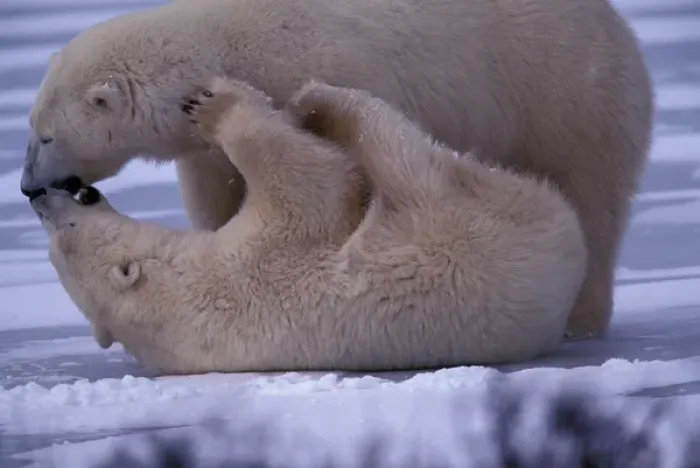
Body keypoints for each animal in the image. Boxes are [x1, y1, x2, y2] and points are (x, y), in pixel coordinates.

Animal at [19, 0, 651, 339]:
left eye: (46, 134)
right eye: (31, 125)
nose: (27, 186)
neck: (225, 44)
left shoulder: (331, 68)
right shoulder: (203, 151)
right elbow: (217, 189)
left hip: (568, 96)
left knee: (591, 195)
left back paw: (579, 317)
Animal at [31, 78, 587, 374]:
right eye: (65, 237)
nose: (41, 197)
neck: (178, 299)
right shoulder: (261, 263)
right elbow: (314, 183)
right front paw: (217, 108)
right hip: (462, 230)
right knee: (399, 151)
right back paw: (323, 102)